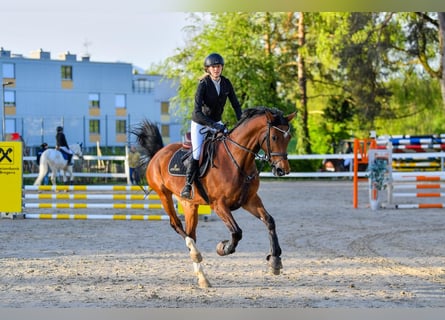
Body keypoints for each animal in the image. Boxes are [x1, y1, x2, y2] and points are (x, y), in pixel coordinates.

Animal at [132, 107, 294, 288]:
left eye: (288, 138)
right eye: (274, 137)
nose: (282, 170)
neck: (237, 160)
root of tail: (158, 153)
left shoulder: (250, 200)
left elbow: (269, 221)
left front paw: (275, 261)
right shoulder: (219, 205)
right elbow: (237, 232)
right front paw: (223, 248)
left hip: (189, 204)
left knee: (191, 232)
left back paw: (202, 277)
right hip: (164, 195)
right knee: (177, 225)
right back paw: (195, 253)